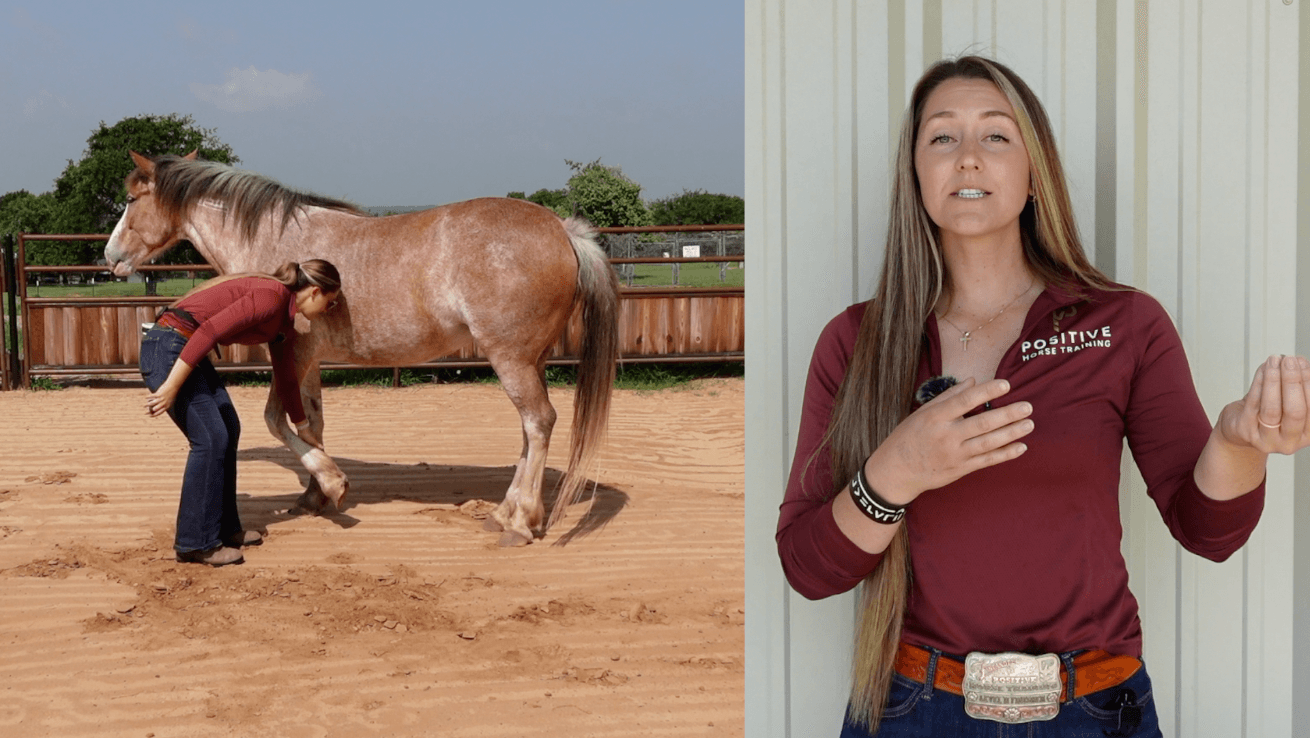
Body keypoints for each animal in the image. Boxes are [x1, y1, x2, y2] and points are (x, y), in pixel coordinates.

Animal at [104, 151, 620, 547]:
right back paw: (502, 512)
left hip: (511, 359)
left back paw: (521, 522)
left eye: (130, 199)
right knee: (529, 431)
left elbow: (276, 420)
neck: (277, 244)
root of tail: (563, 230)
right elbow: (310, 423)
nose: (110, 257)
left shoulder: (291, 354)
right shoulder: (307, 361)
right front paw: (313, 497)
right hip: (532, 360)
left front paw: (333, 484)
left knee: (539, 422)